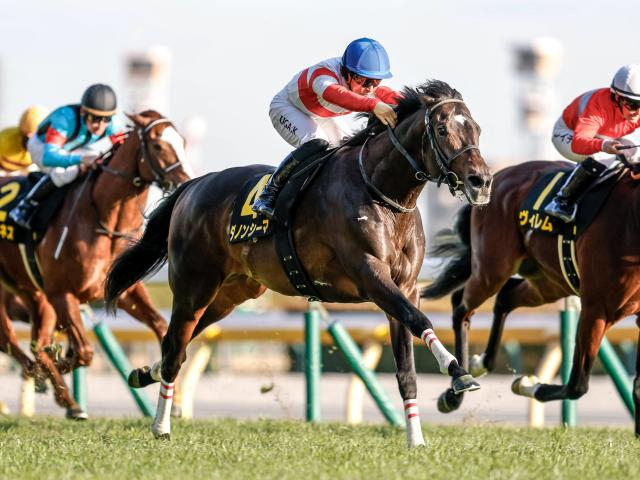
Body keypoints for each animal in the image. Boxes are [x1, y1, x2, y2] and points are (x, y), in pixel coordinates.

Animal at [0, 110, 191, 418]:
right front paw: (61, 362)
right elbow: (85, 352)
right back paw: (56, 388)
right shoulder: (61, 293)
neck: (103, 222)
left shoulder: (123, 290)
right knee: (10, 338)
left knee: (34, 342)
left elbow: (162, 326)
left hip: (33, 294)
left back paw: (61, 392)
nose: (186, 180)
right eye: (158, 145)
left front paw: (173, 403)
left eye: (183, 141)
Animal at [104, 80, 493, 446]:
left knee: (182, 340)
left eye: (476, 128)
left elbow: (407, 367)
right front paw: (458, 372)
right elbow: (419, 320)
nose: (481, 181)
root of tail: (194, 185)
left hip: (233, 293)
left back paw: (145, 373)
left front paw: (416, 439)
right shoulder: (370, 274)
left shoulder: (406, 287)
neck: (383, 195)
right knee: (175, 346)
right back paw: (161, 426)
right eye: (441, 129)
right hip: (193, 285)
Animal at [421, 159, 640, 436]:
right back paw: (455, 392)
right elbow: (577, 385)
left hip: (549, 282)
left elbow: (637, 384)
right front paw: (527, 384)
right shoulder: (597, 308)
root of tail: (500, 175)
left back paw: (480, 363)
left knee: (505, 297)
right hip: (492, 269)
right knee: (462, 306)